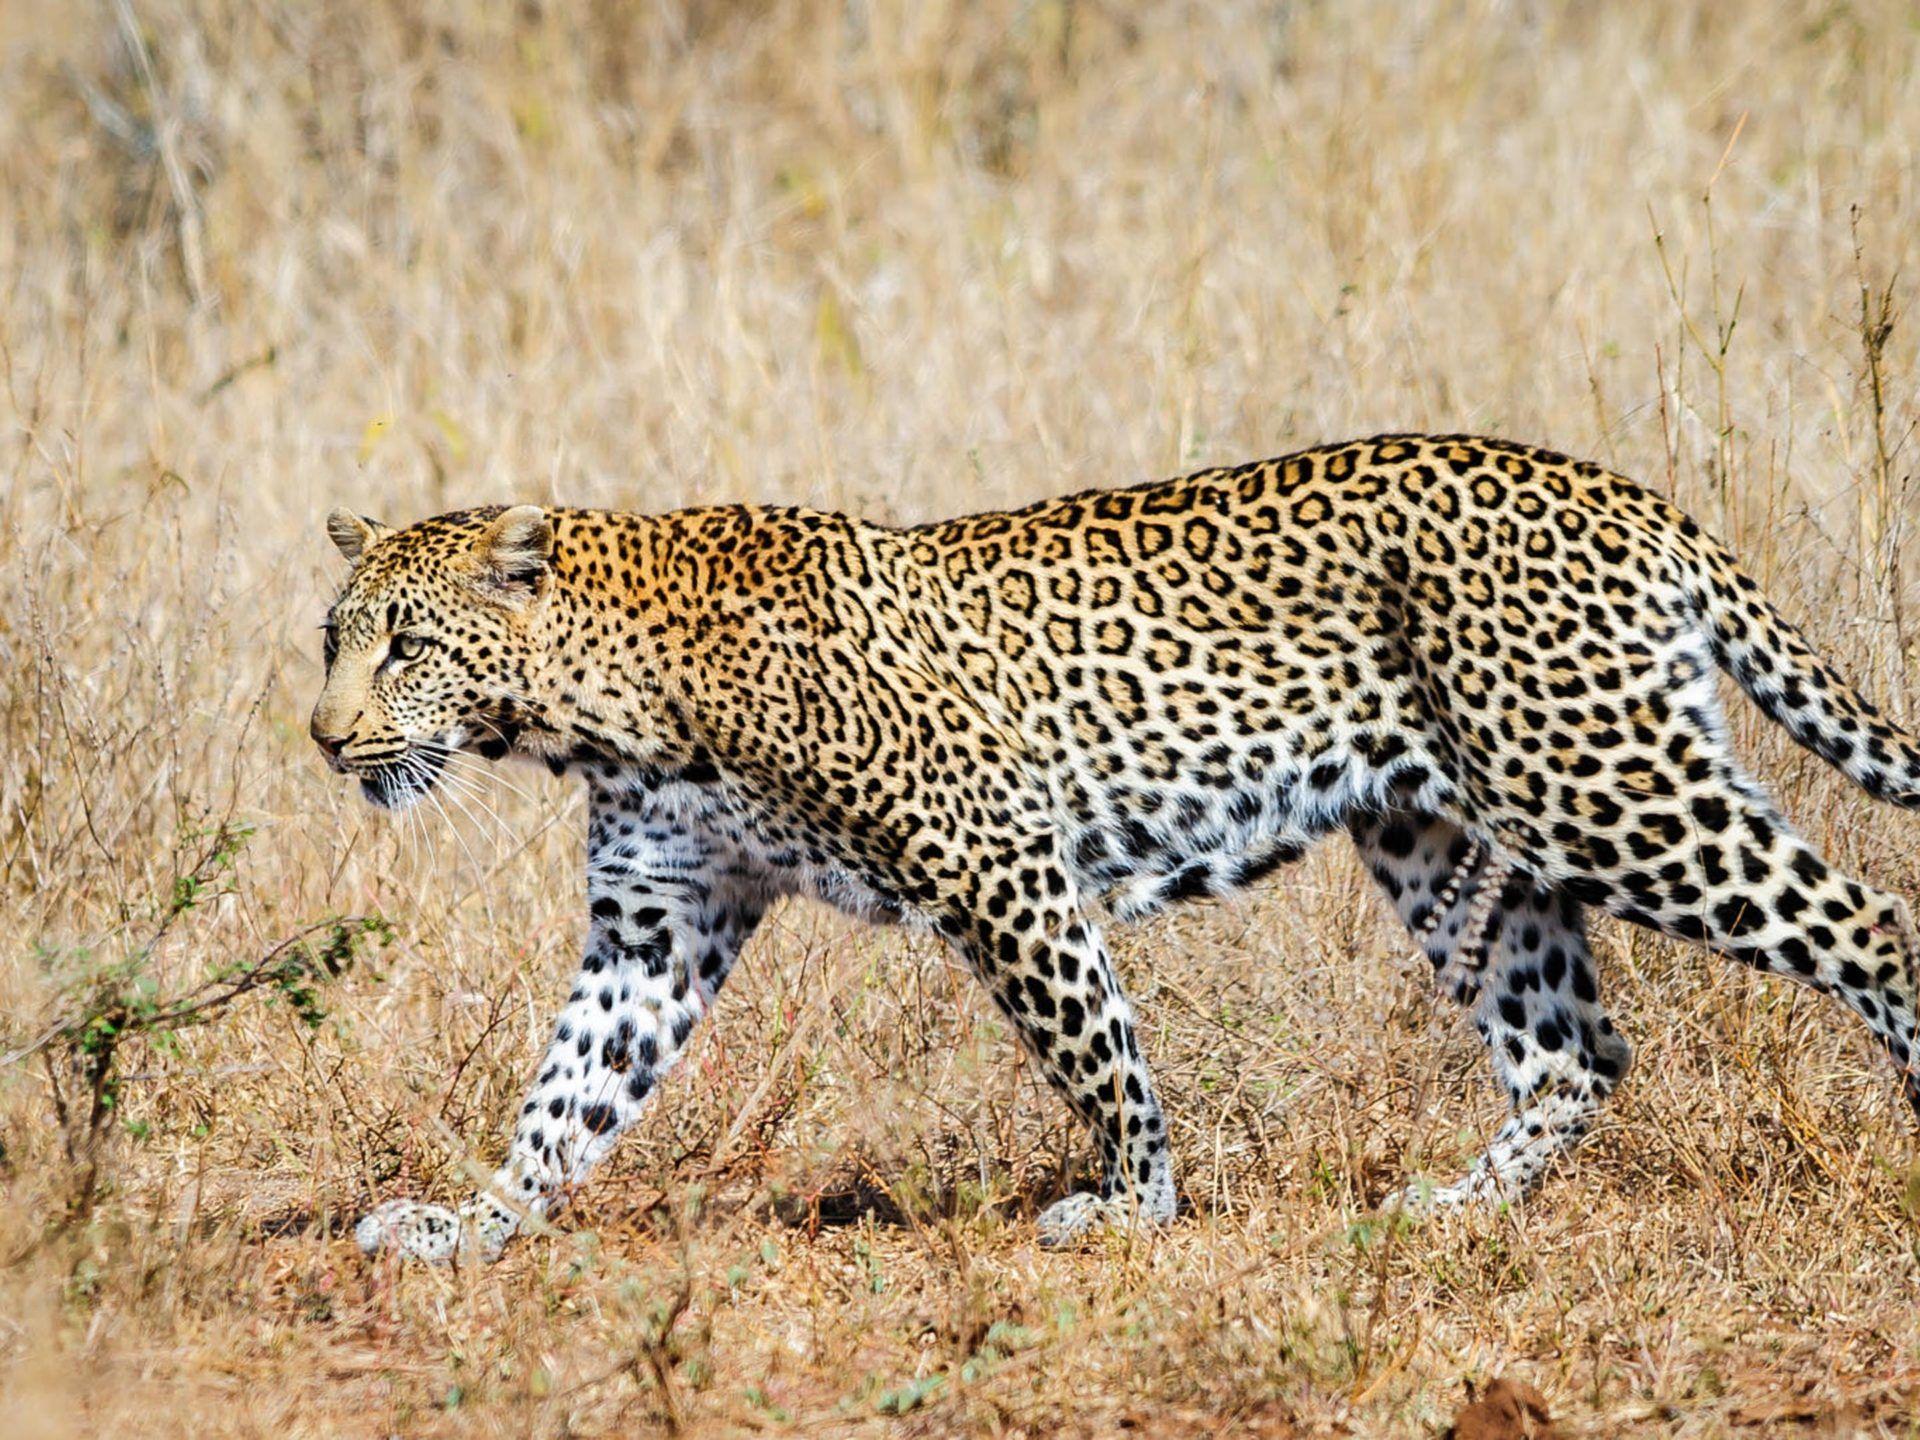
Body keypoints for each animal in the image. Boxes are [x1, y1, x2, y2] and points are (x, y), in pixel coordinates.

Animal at [309, 433, 1920, 1262]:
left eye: (406, 646)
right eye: (332, 638)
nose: (324, 738)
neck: (597, 707)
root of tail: (1620, 488)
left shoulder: (994, 860)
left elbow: (1095, 1048)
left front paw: (1136, 1206)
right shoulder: (658, 920)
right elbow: (567, 1097)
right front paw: (470, 1224)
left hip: (1597, 785)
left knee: (1869, 924)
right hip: (1442, 832)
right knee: (1574, 1051)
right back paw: (1453, 1210)